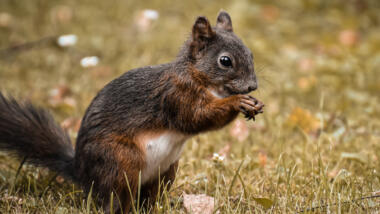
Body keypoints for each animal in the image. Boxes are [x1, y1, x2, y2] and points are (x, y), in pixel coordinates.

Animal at [0, 10, 264, 213]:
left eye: (251, 53)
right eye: (225, 61)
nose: (252, 86)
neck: (198, 77)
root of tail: (82, 172)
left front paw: (252, 103)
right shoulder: (176, 96)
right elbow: (196, 118)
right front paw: (238, 102)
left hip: (166, 171)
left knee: (148, 198)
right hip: (120, 161)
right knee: (115, 200)